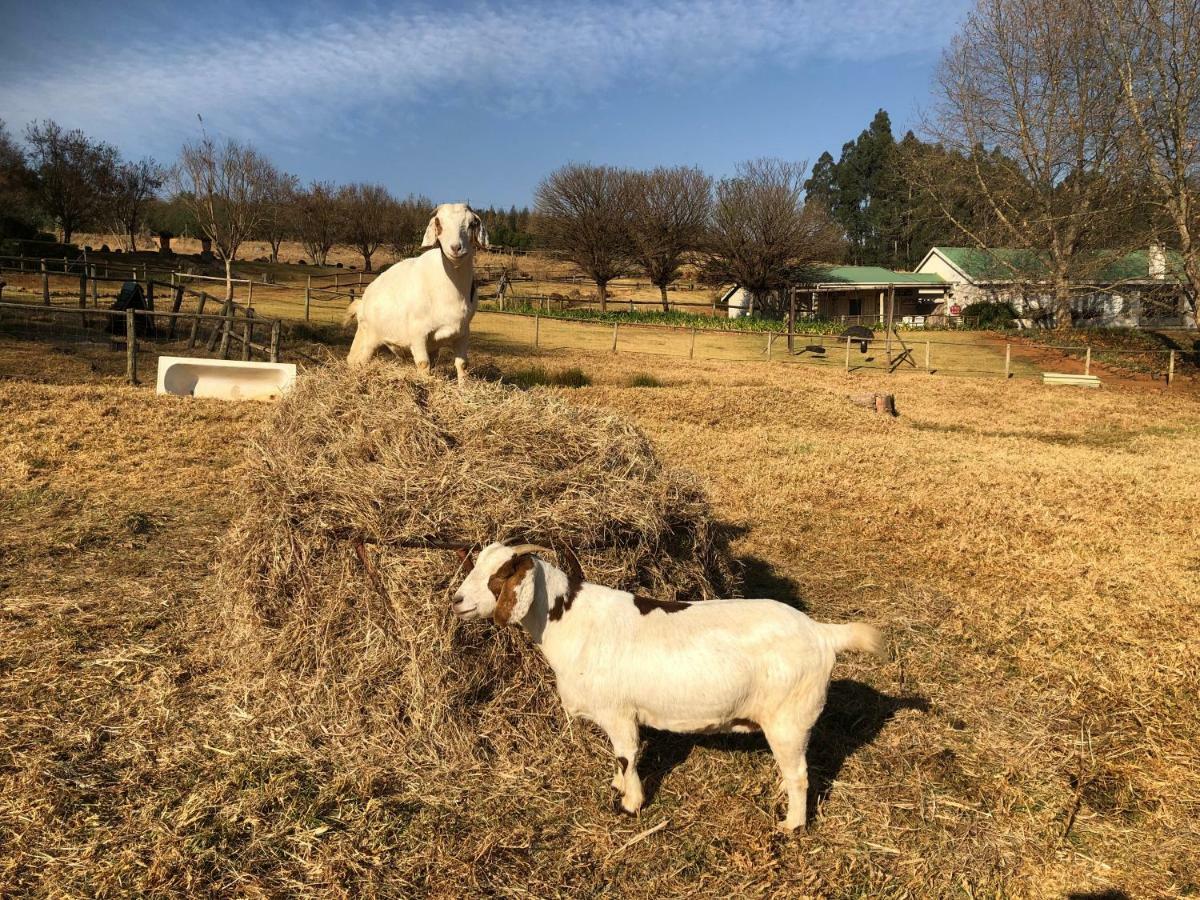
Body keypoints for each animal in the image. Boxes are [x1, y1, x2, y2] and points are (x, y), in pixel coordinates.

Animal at [343, 204, 487, 381]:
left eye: (472, 223)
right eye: (438, 223)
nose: (456, 248)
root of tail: (362, 302)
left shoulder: (462, 333)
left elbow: (462, 365)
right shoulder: (418, 333)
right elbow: (423, 364)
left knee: (353, 359)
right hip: (369, 336)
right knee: (358, 360)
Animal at [451, 542, 883, 830]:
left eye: (498, 576)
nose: (456, 600)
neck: (570, 619)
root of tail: (822, 634)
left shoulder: (619, 713)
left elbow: (626, 755)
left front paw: (630, 803)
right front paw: (618, 786)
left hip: (789, 719)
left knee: (800, 775)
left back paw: (792, 825)